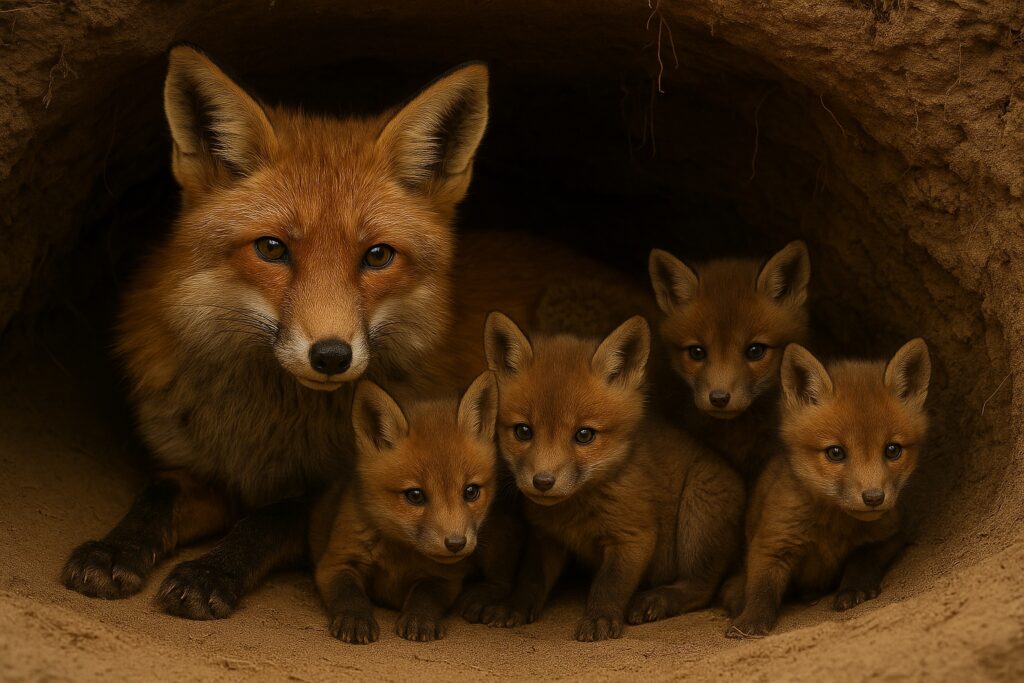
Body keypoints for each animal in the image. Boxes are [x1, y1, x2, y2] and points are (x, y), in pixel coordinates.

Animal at [310, 373, 520, 644]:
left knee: (503, 580)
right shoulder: (336, 562)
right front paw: (354, 619)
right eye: (416, 495)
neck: (400, 554)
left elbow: (425, 596)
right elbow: (347, 593)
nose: (456, 544)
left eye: (470, 491)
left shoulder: (445, 576)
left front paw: (420, 620)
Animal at [479, 312, 746, 642]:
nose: (542, 482)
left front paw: (600, 619)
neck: (575, 512)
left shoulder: (633, 536)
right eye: (523, 431)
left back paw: (659, 599)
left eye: (584, 435)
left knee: (702, 587)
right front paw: (514, 606)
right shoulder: (546, 537)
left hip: (697, 514)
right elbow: (531, 579)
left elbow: (609, 584)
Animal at [724, 339, 930, 638]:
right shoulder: (772, 541)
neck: (833, 526)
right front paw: (749, 621)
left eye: (892, 450)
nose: (874, 497)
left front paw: (854, 588)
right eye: (835, 452)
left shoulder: (893, 531)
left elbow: (863, 559)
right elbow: (762, 588)